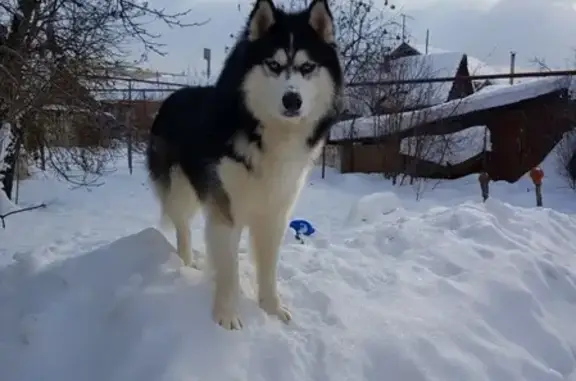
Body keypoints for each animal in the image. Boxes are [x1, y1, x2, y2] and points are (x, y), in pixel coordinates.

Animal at [146, 0, 342, 328]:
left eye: (307, 68)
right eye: (273, 65)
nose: (292, 100)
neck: (268, 135)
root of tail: (173, 95)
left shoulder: (275, 213)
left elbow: (268, 269)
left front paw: (272, 308)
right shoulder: (226, 210)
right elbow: (229, 270)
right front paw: (226, 316)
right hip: (180, 189)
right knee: (182, 227)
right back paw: (186, 265)